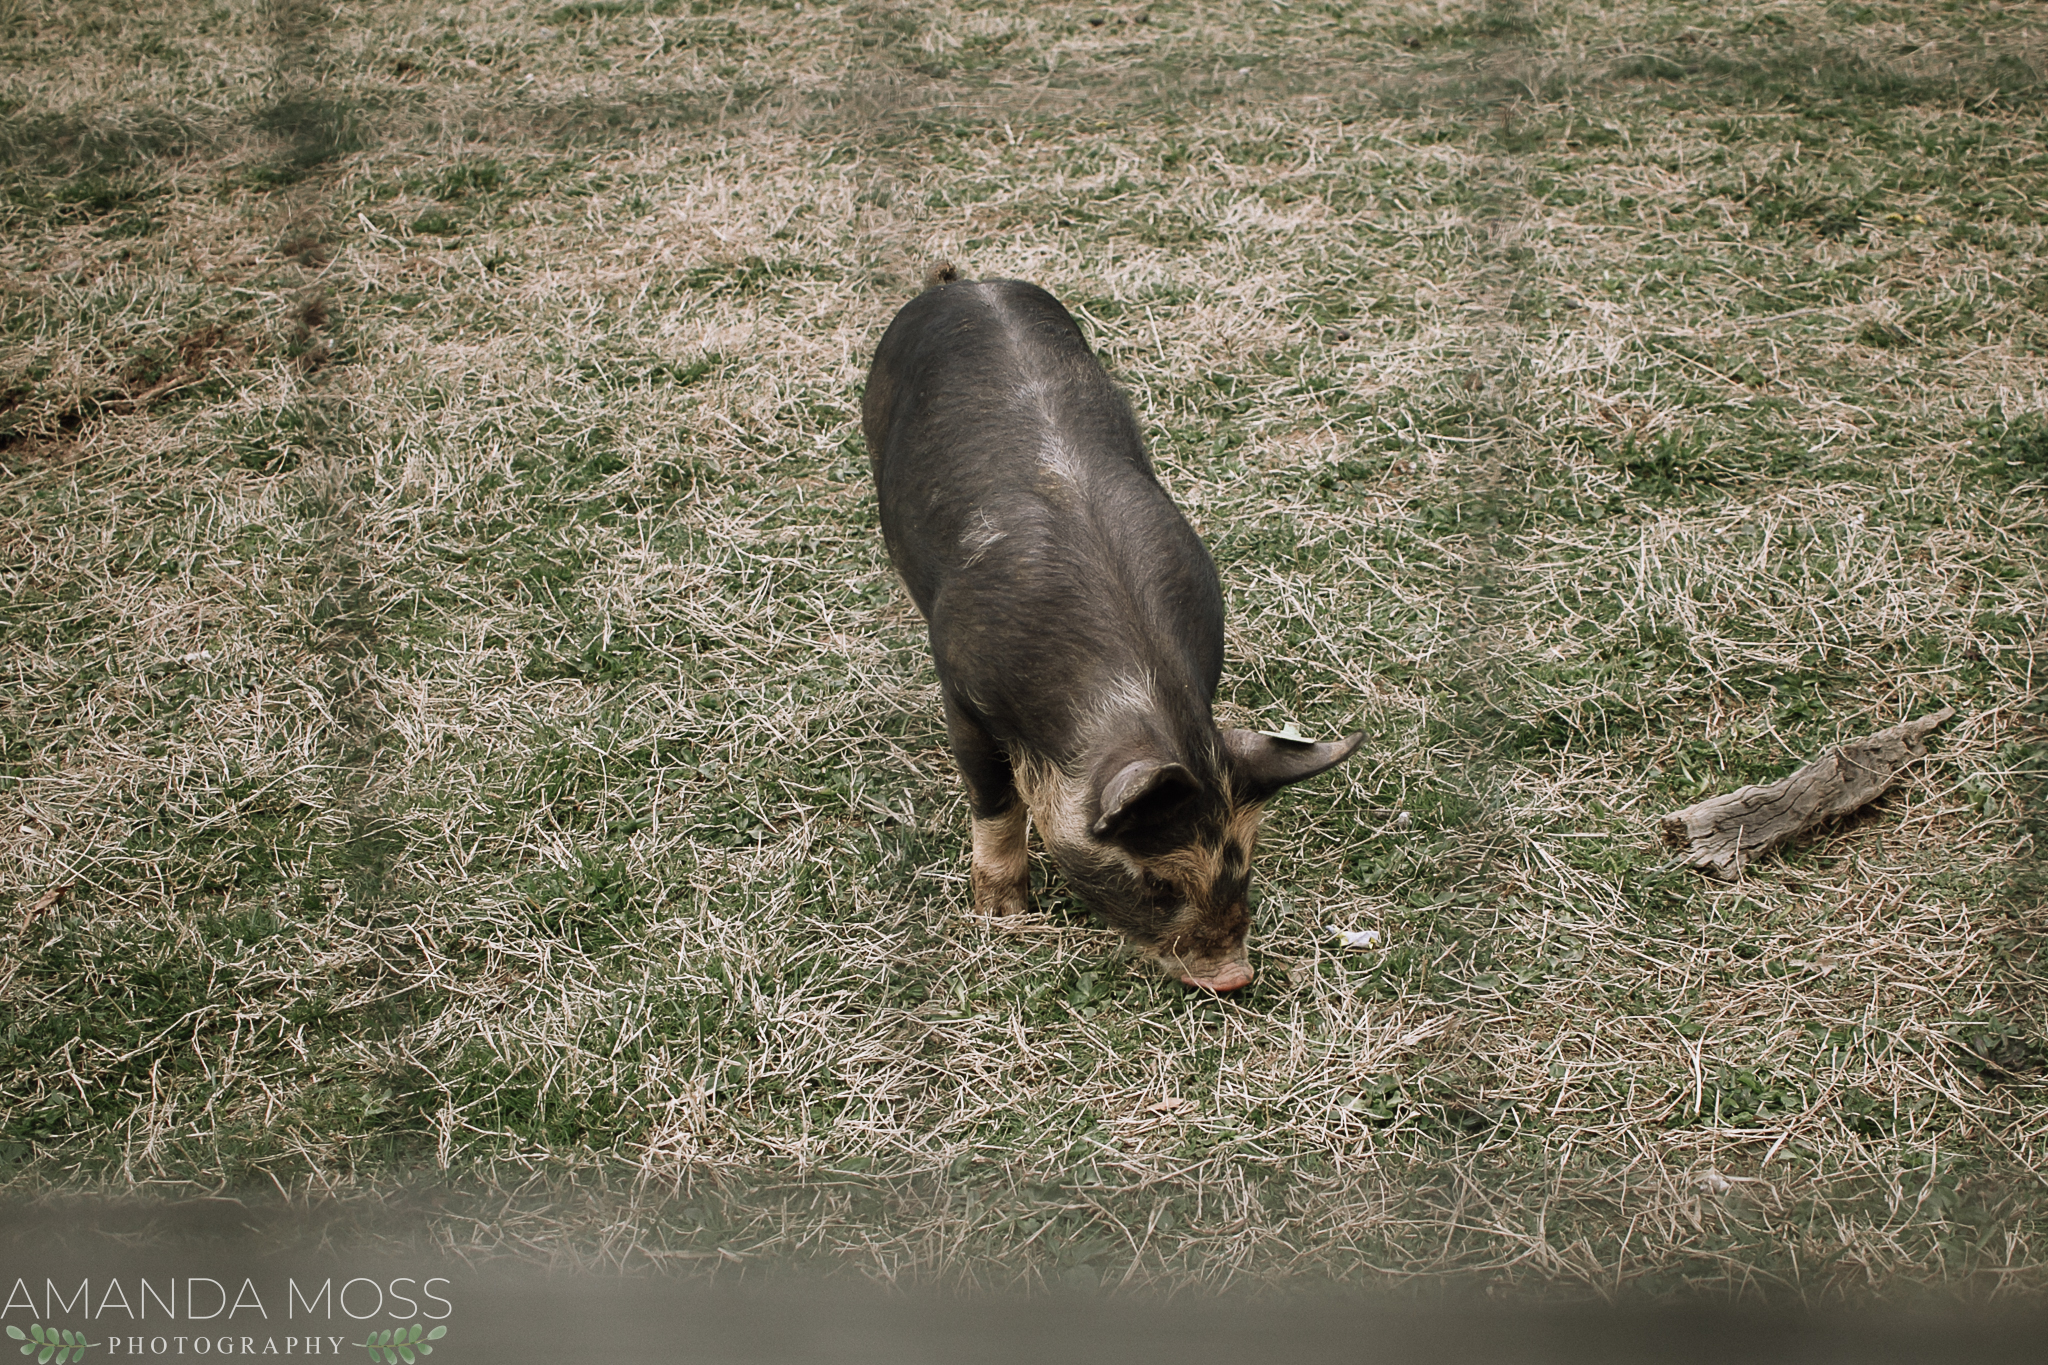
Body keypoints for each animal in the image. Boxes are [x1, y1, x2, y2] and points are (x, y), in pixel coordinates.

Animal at [864, 270, 1359, 994]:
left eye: (1244, 862)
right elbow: (994, 799)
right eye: (1155, 881)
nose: (1234, 976)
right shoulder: (962, 688)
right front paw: (1003, 915)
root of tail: (967, 283)